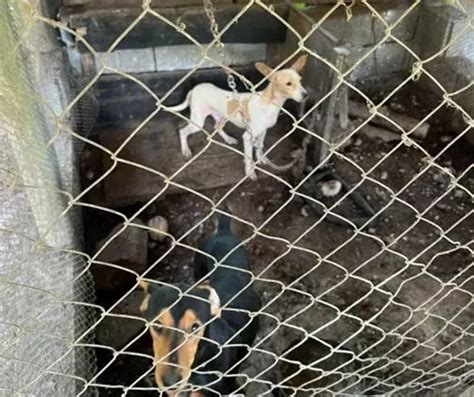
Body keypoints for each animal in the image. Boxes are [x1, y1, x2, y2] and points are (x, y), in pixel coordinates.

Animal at [166, 54, 308, 179]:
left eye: (301, 81)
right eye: (288, 84)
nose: (305, 95)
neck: (269, 103)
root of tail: (194, 89)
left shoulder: (263, 131)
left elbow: (260, 147)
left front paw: (261, 159)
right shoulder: (248, 137)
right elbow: (249, 158)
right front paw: (250, 172)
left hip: (222, 117)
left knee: (217, 127)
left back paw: (228, 139)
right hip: (198, 121)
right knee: (183, 131)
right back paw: (185, 150)